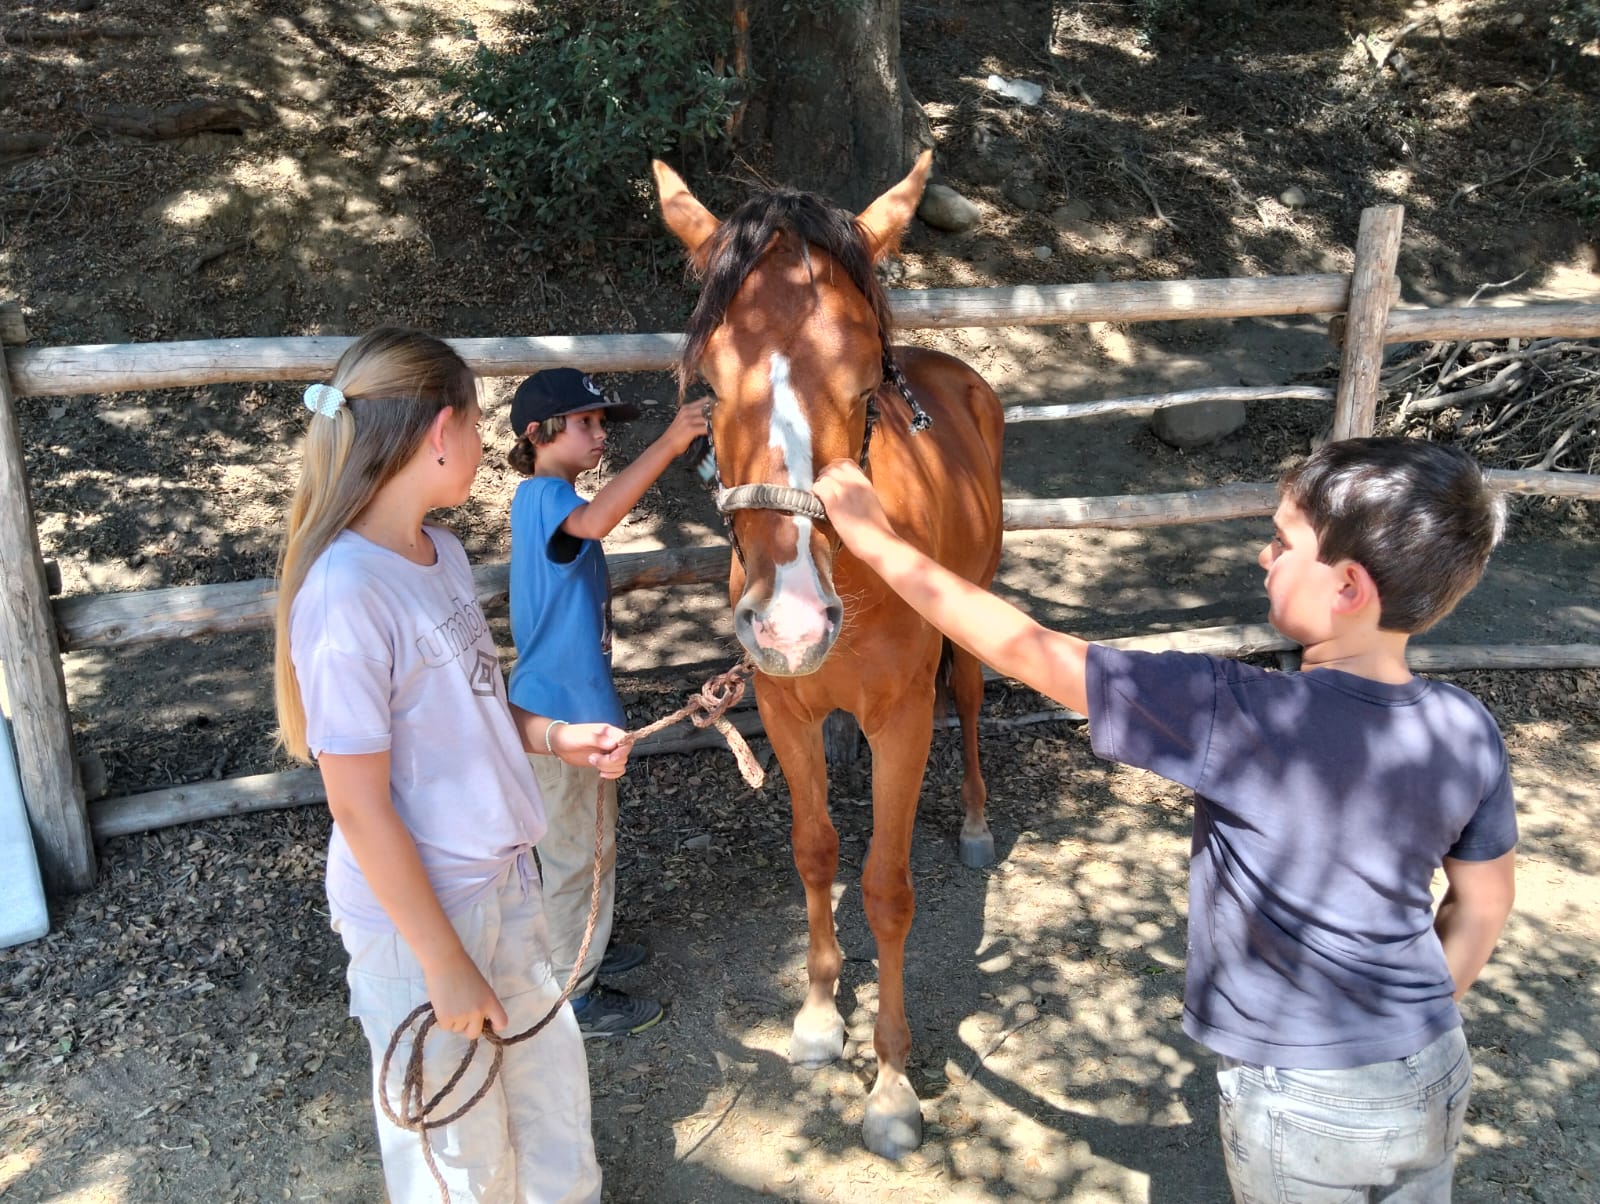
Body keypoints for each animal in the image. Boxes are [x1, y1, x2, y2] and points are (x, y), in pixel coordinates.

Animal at [652, 151, 1005, 1159]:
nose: (792, 626)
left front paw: (890, 1086)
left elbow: (886, 888)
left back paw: (974, 823)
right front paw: (815, 1018)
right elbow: (815, 852)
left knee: (971, 704)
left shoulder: (901, 720)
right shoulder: (784, 710)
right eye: (707, 386)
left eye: (862, 387)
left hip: (972, 625)